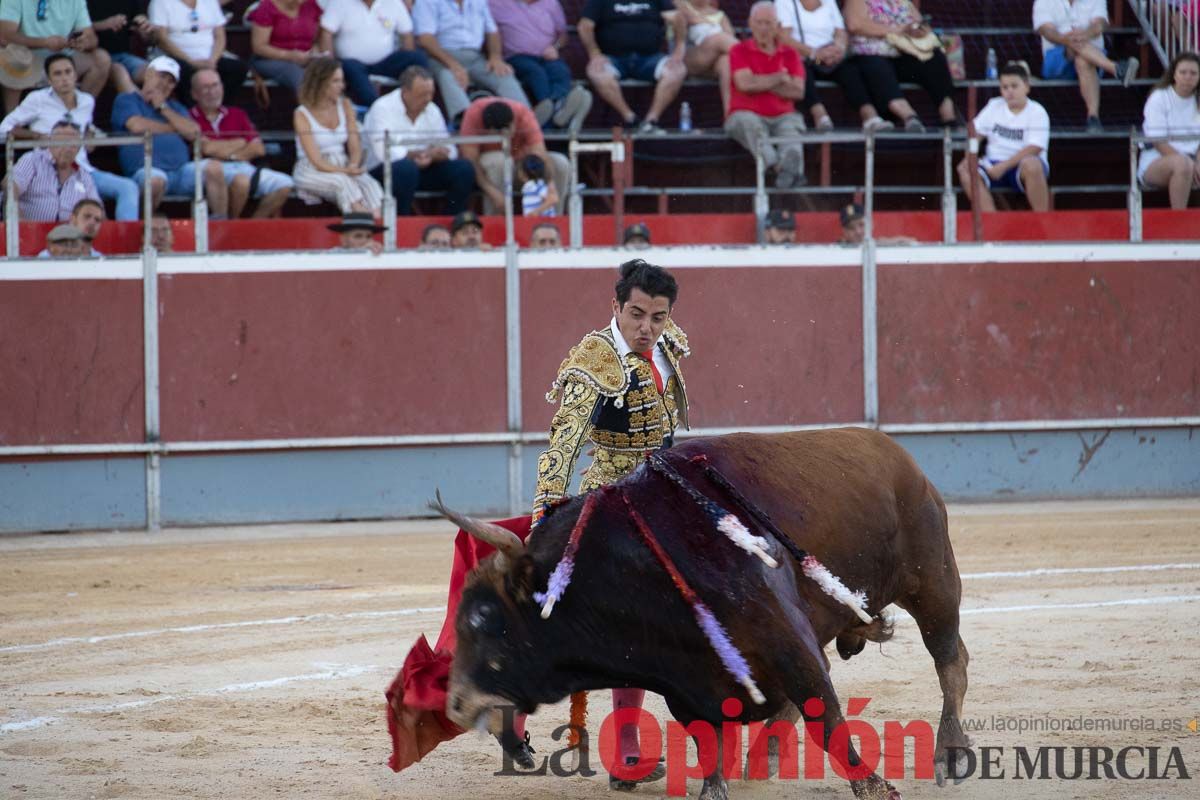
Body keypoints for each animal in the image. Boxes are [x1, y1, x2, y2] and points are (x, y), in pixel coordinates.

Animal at [436, 431, 969, 800]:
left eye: (485, 619)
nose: (455, 705)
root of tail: (898, 455)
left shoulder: (789, 644)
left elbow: (827, 718)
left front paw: (875, 787)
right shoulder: (687, 682)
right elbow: (709, 747)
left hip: (934, 583)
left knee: (951, 661)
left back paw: (950, 752)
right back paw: (763, 757)